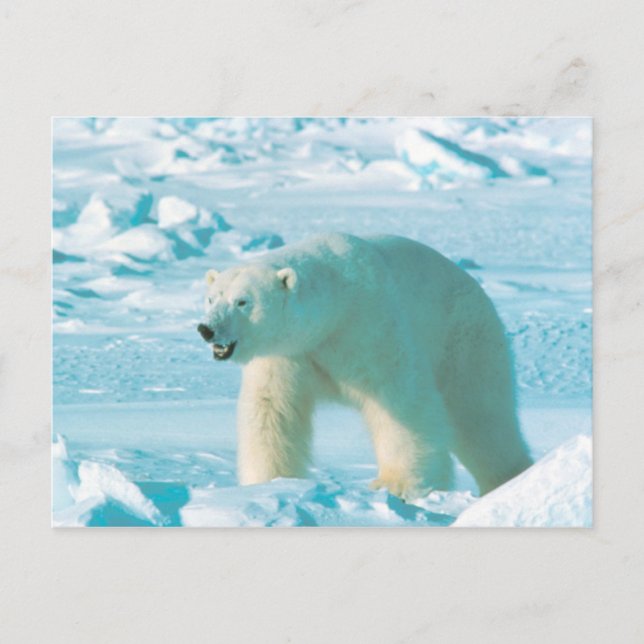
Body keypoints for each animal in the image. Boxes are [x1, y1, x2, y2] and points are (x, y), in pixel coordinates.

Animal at [197, 233, 533, 499]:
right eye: (212, 299)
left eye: (242, 301)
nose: (207, 329)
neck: (333, 311)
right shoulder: (287, 354)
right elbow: (271, 408)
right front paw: (268, 483)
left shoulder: (369, 326)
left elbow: (401, 400)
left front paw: (397, 484)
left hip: (465, 341)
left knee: (482, 416)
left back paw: (509, 480)